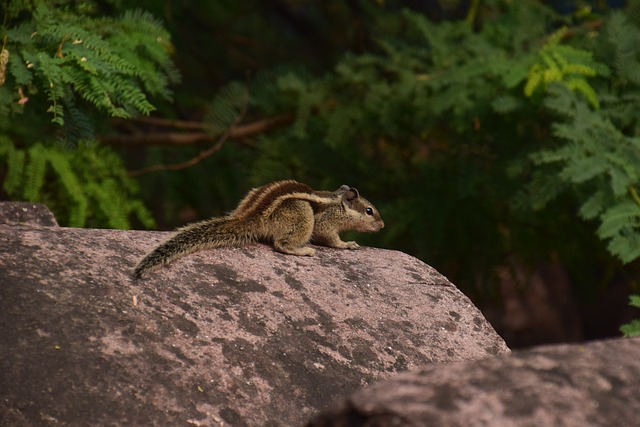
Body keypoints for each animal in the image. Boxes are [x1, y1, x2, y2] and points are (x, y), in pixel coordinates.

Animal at [132, 181, 382, 280]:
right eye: (369, 211)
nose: (382, 226)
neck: (337, 204)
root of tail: (251, 216)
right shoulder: (325, 222)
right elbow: (330, 237)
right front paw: (347, 244)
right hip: (302, 214)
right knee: (281, 244)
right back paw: (303, 251)